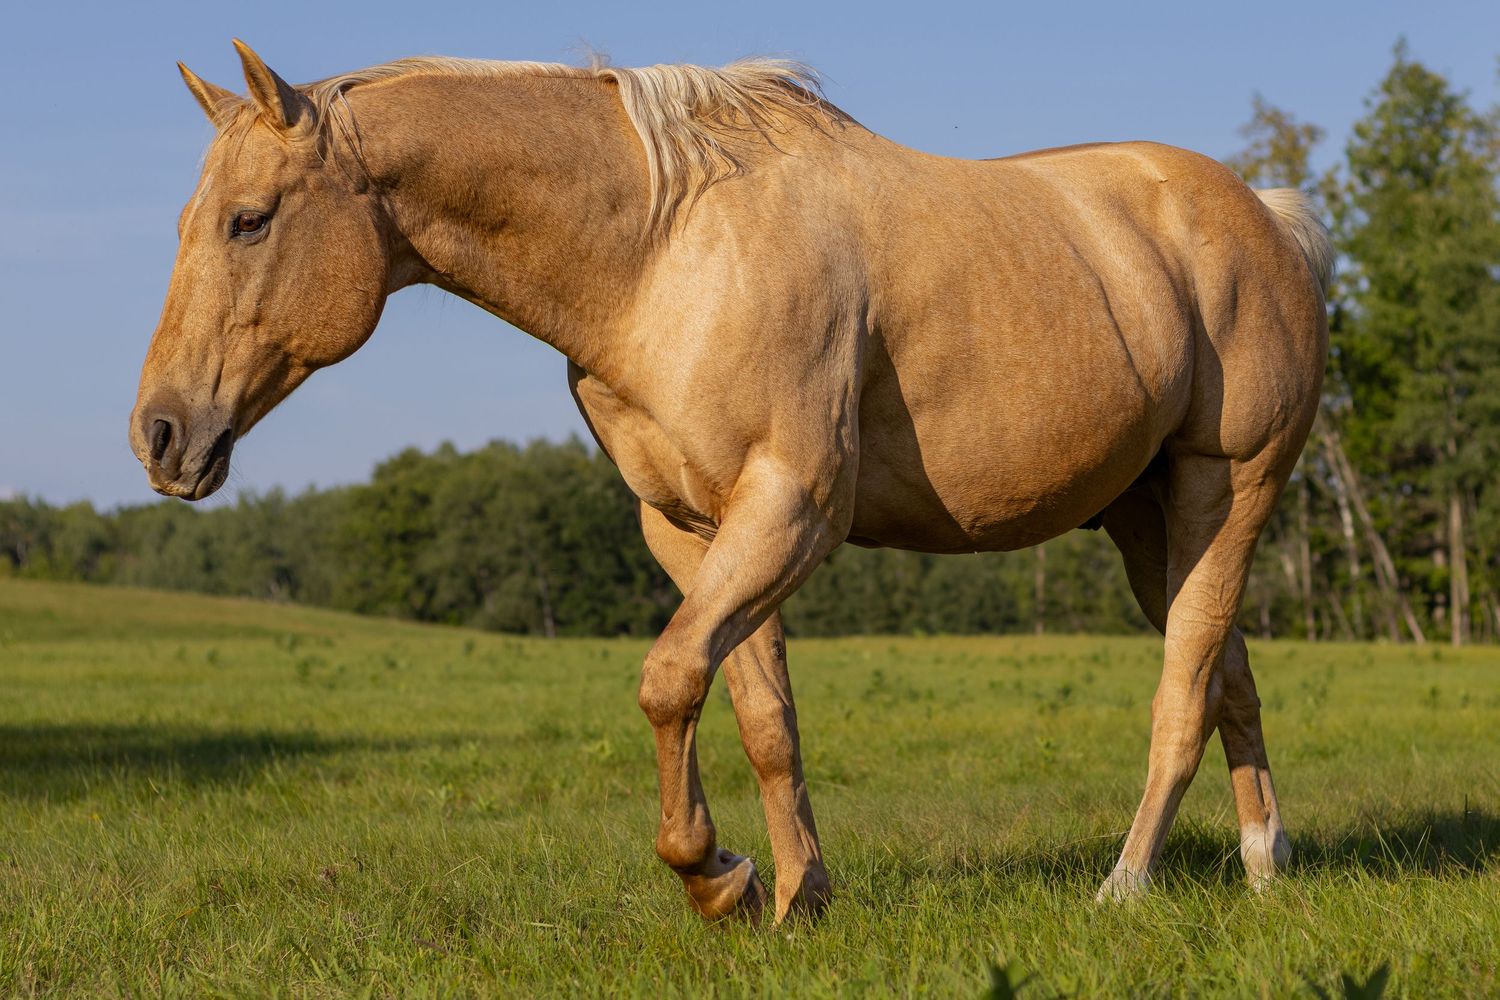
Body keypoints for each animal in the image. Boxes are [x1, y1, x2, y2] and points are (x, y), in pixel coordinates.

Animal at [131, 40, 1330, 923]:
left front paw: (718, 880)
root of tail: (1267, 217)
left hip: (1229, 491)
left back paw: (1126, 884)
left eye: (249, 219)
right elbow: (761, 715)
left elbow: (670, 681)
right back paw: (1266, 869)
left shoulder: (791, 509)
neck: (662, 253)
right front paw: (796, 895)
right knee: (1228, 678)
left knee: (1184, 691)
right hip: (1145, 517)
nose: (160, 435)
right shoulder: (694, 528)